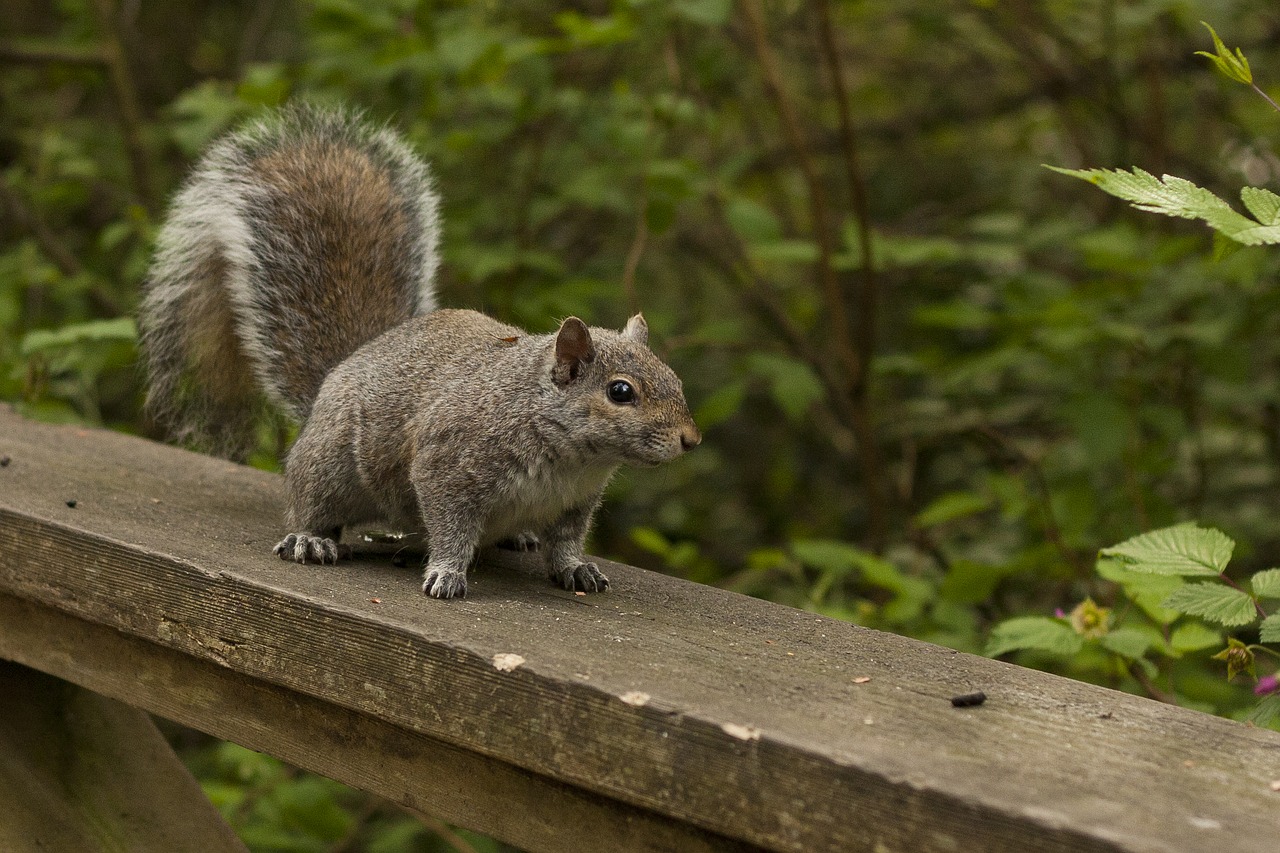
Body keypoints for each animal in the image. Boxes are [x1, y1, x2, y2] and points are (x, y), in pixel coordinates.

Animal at [138, 104, 701, 596]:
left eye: (675, 379)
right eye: (621, 392)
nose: (690, 440)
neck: (569, 456)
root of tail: (342, 370)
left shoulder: (574, 503)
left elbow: (564, 542)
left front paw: (576, 568)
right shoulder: (447, 462)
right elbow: (450, 526)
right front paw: (447, 572)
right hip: (330, 464)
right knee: (310, 501)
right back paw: (313, 538)